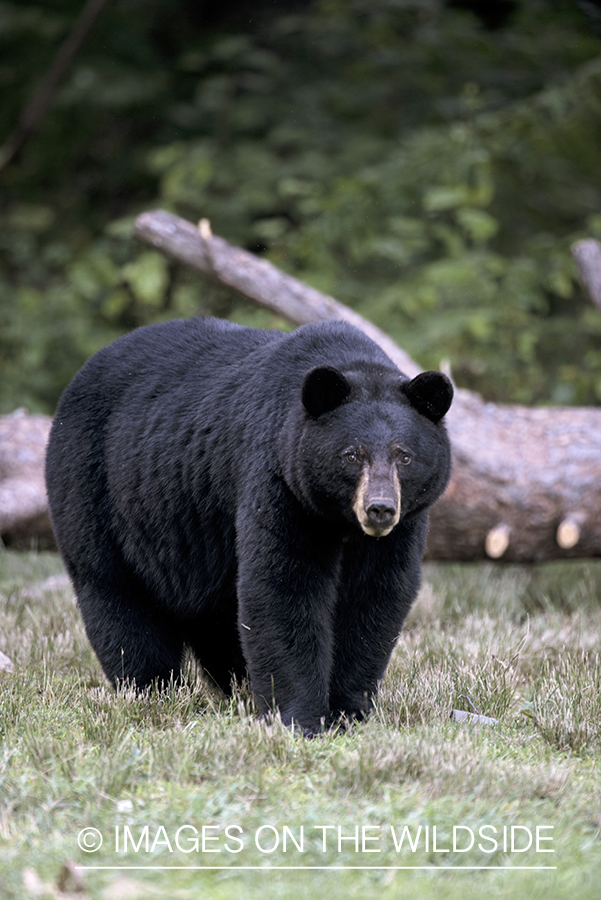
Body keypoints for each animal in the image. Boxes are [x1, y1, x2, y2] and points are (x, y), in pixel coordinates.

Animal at [45, 320, 450, 736]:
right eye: (352, 455)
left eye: (405, 456)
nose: (379, 509)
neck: (339, 521)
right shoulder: (278, 482)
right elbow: (283, 587)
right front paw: (300, 719)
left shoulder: (401, 527)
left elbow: (375, 596)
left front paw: (346, 712)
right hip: (97, 488)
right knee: (116, 595)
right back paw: (152, 691)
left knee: (215, 618)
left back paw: (233, 690)